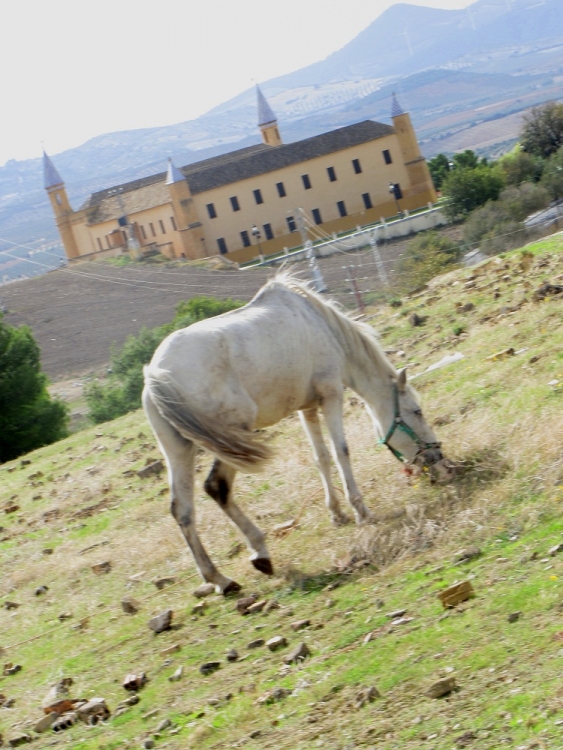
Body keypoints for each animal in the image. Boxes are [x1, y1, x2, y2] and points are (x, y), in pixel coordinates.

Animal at [143, 274, 452, 596]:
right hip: (231, 440)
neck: (320, 323)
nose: (439, 458)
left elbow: (322, 457)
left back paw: (221, 578)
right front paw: (361, 511)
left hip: (180, 450)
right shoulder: (331, 395)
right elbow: (341, 451)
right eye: (417, 411)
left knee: (183, 509)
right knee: (217, 487)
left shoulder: (307, 408)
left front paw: (337, 514)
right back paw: (256, 556)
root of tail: (157, 374)